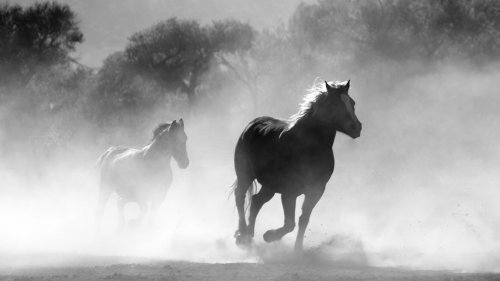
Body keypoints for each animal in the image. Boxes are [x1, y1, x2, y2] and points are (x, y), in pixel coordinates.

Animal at [232, 80, 362, 250]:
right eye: (335, 104)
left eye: (352, 103)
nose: (356, 127)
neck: (308, 147)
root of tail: (252, 124)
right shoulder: (289, 192)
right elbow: (289, 224)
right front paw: (269, 236)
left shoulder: (316, 190)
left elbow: (303, 219)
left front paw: (297, 250)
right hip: (245, 175)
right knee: (240, 196)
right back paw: (242, 234)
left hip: (269, 186)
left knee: (256, 201)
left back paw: (249, 235)